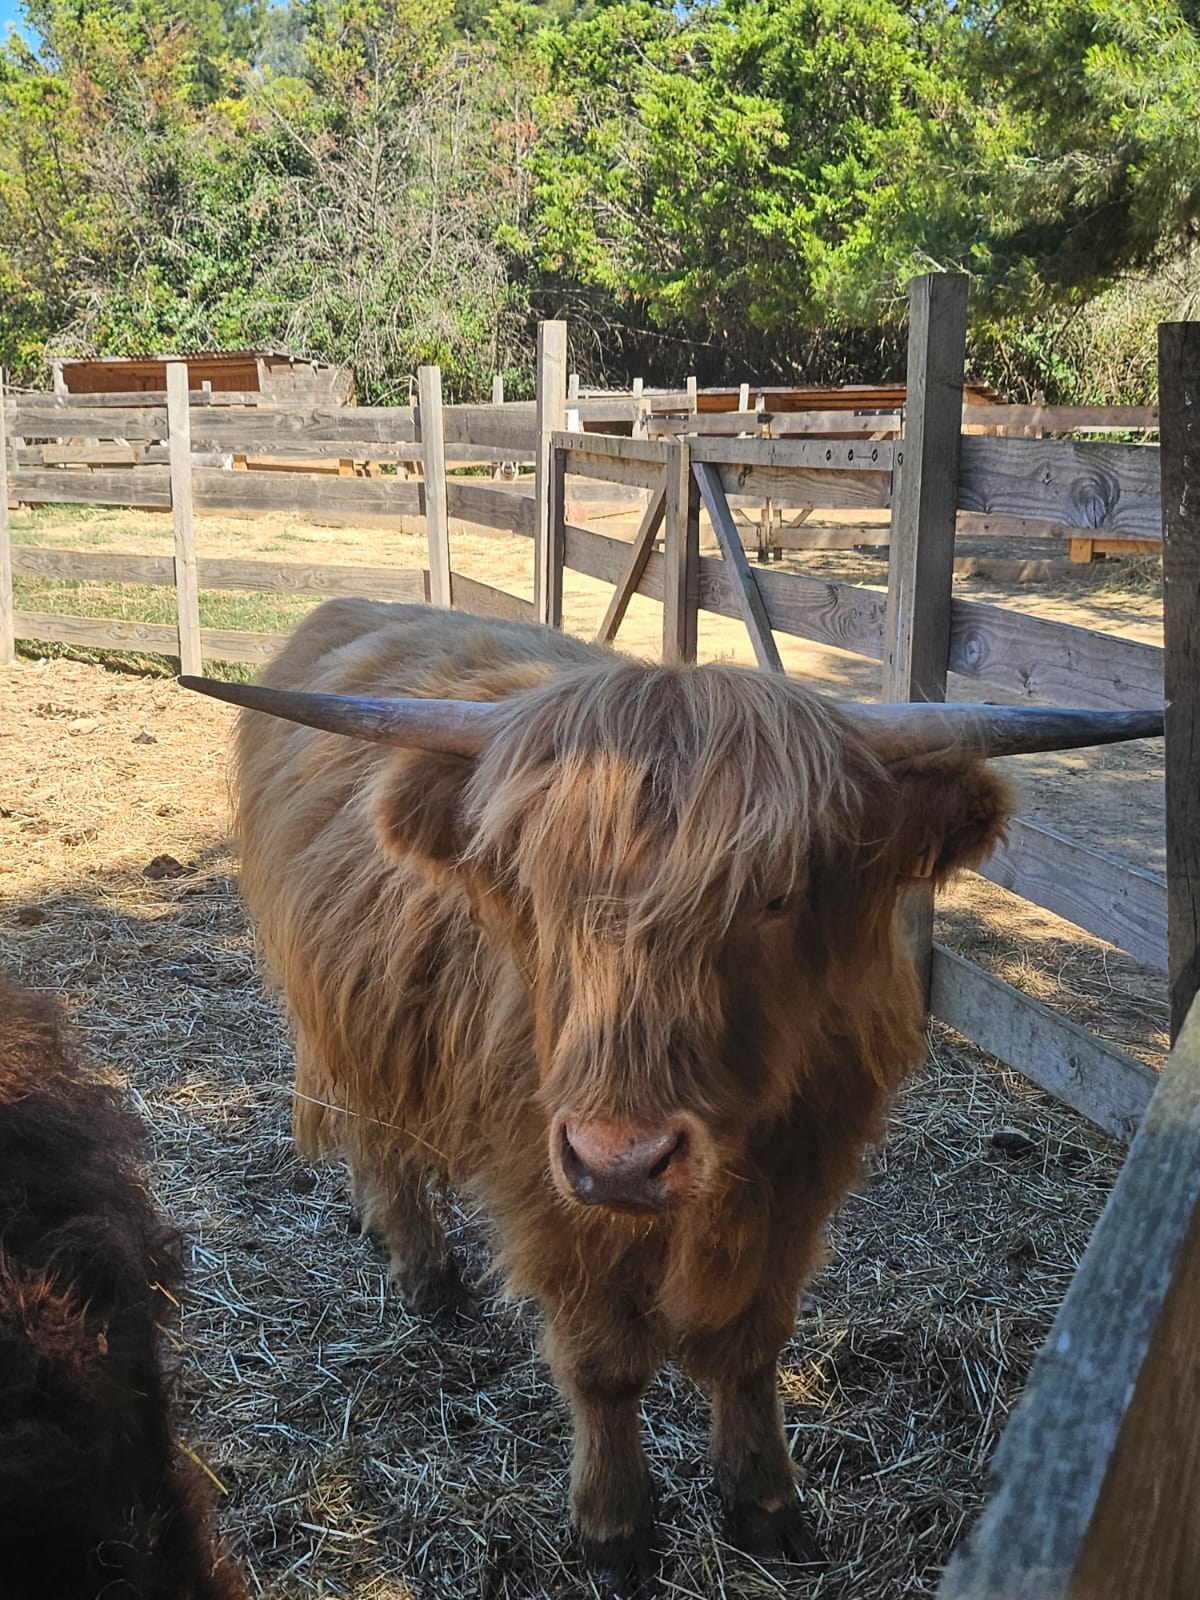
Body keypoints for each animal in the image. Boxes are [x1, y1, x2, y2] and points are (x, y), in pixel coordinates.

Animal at [183, 599, 1161, 1595]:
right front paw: (615, 1526)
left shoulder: (801, 1175)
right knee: (375, 1132)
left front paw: (764, 1501)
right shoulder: (553, 1188)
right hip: (340, 1014)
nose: (623, 1159)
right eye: (532, 884)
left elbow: (754, 1344)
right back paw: (422, 1268)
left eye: (777, 894)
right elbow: (604, 1364)